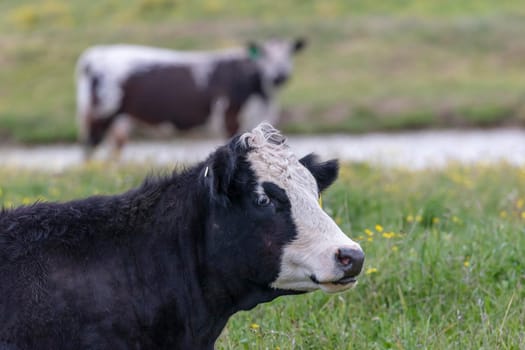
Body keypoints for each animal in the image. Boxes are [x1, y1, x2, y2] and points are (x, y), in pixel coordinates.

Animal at [73, 38, 302, 157]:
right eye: (265, 55)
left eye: (289, 55)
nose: (280, 75)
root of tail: (95, 54)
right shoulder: (229, 118)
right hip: (101, 114)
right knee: (90, 147)